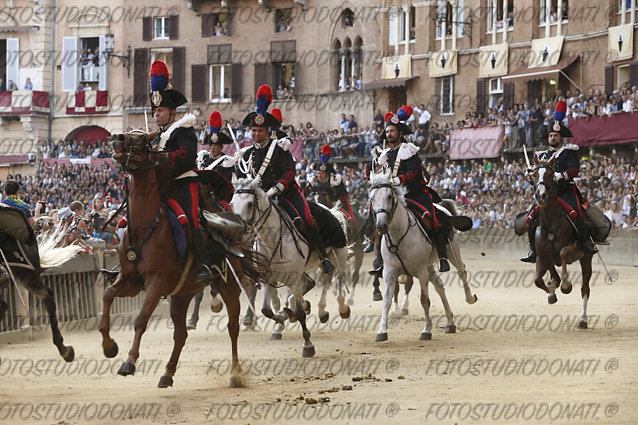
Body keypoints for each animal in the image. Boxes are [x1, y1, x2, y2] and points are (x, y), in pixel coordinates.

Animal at [101, 132, 266, 388]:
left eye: (142, 140)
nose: (117, 138)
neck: (146, 226)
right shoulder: (130, 281)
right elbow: (108, 296)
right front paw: (109, 346)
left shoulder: (156, 283)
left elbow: (141, 320)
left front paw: (129, 361)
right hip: (181, 295)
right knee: (181, 334)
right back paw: (167, 373)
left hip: (229, 287)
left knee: (233, 327)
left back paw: (235, 374)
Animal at [230, 177, 350, 356]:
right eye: (231, 203)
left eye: (250, 204)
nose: (239, 232)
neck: (273, 239)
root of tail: (329, 210)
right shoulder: (267, 280)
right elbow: (267, 310)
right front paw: (284, 316)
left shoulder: (293, 279)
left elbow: (299, 314)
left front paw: (308, 345)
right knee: (321, 279)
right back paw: (315, 310)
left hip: (339, 254)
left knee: (338, 277)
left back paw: (341, 309)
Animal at [368, 171, 478, 340]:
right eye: (372, 198)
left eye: (389, 196)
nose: (381, 225)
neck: (399, 235)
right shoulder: (390, 271)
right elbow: (386, 300)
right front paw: (382, 331)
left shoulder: (420, 271)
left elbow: (425, 300)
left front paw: (426, 330)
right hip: (429, 266)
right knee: (439, 285)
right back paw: (450, 322)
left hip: (452, 252)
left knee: (461, 271)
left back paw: (470, 298)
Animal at [528, 158, 596, 328]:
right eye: (534, 175)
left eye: (550, 174)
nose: (541, 195)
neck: (551, 225)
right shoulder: (542, 257)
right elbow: (538, 280)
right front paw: (551, 294)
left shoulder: (573, 248)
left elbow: (564, 253)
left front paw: (566, 285)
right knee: (554, 274)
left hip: (586, 258)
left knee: (585, 289)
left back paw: (583, 319)